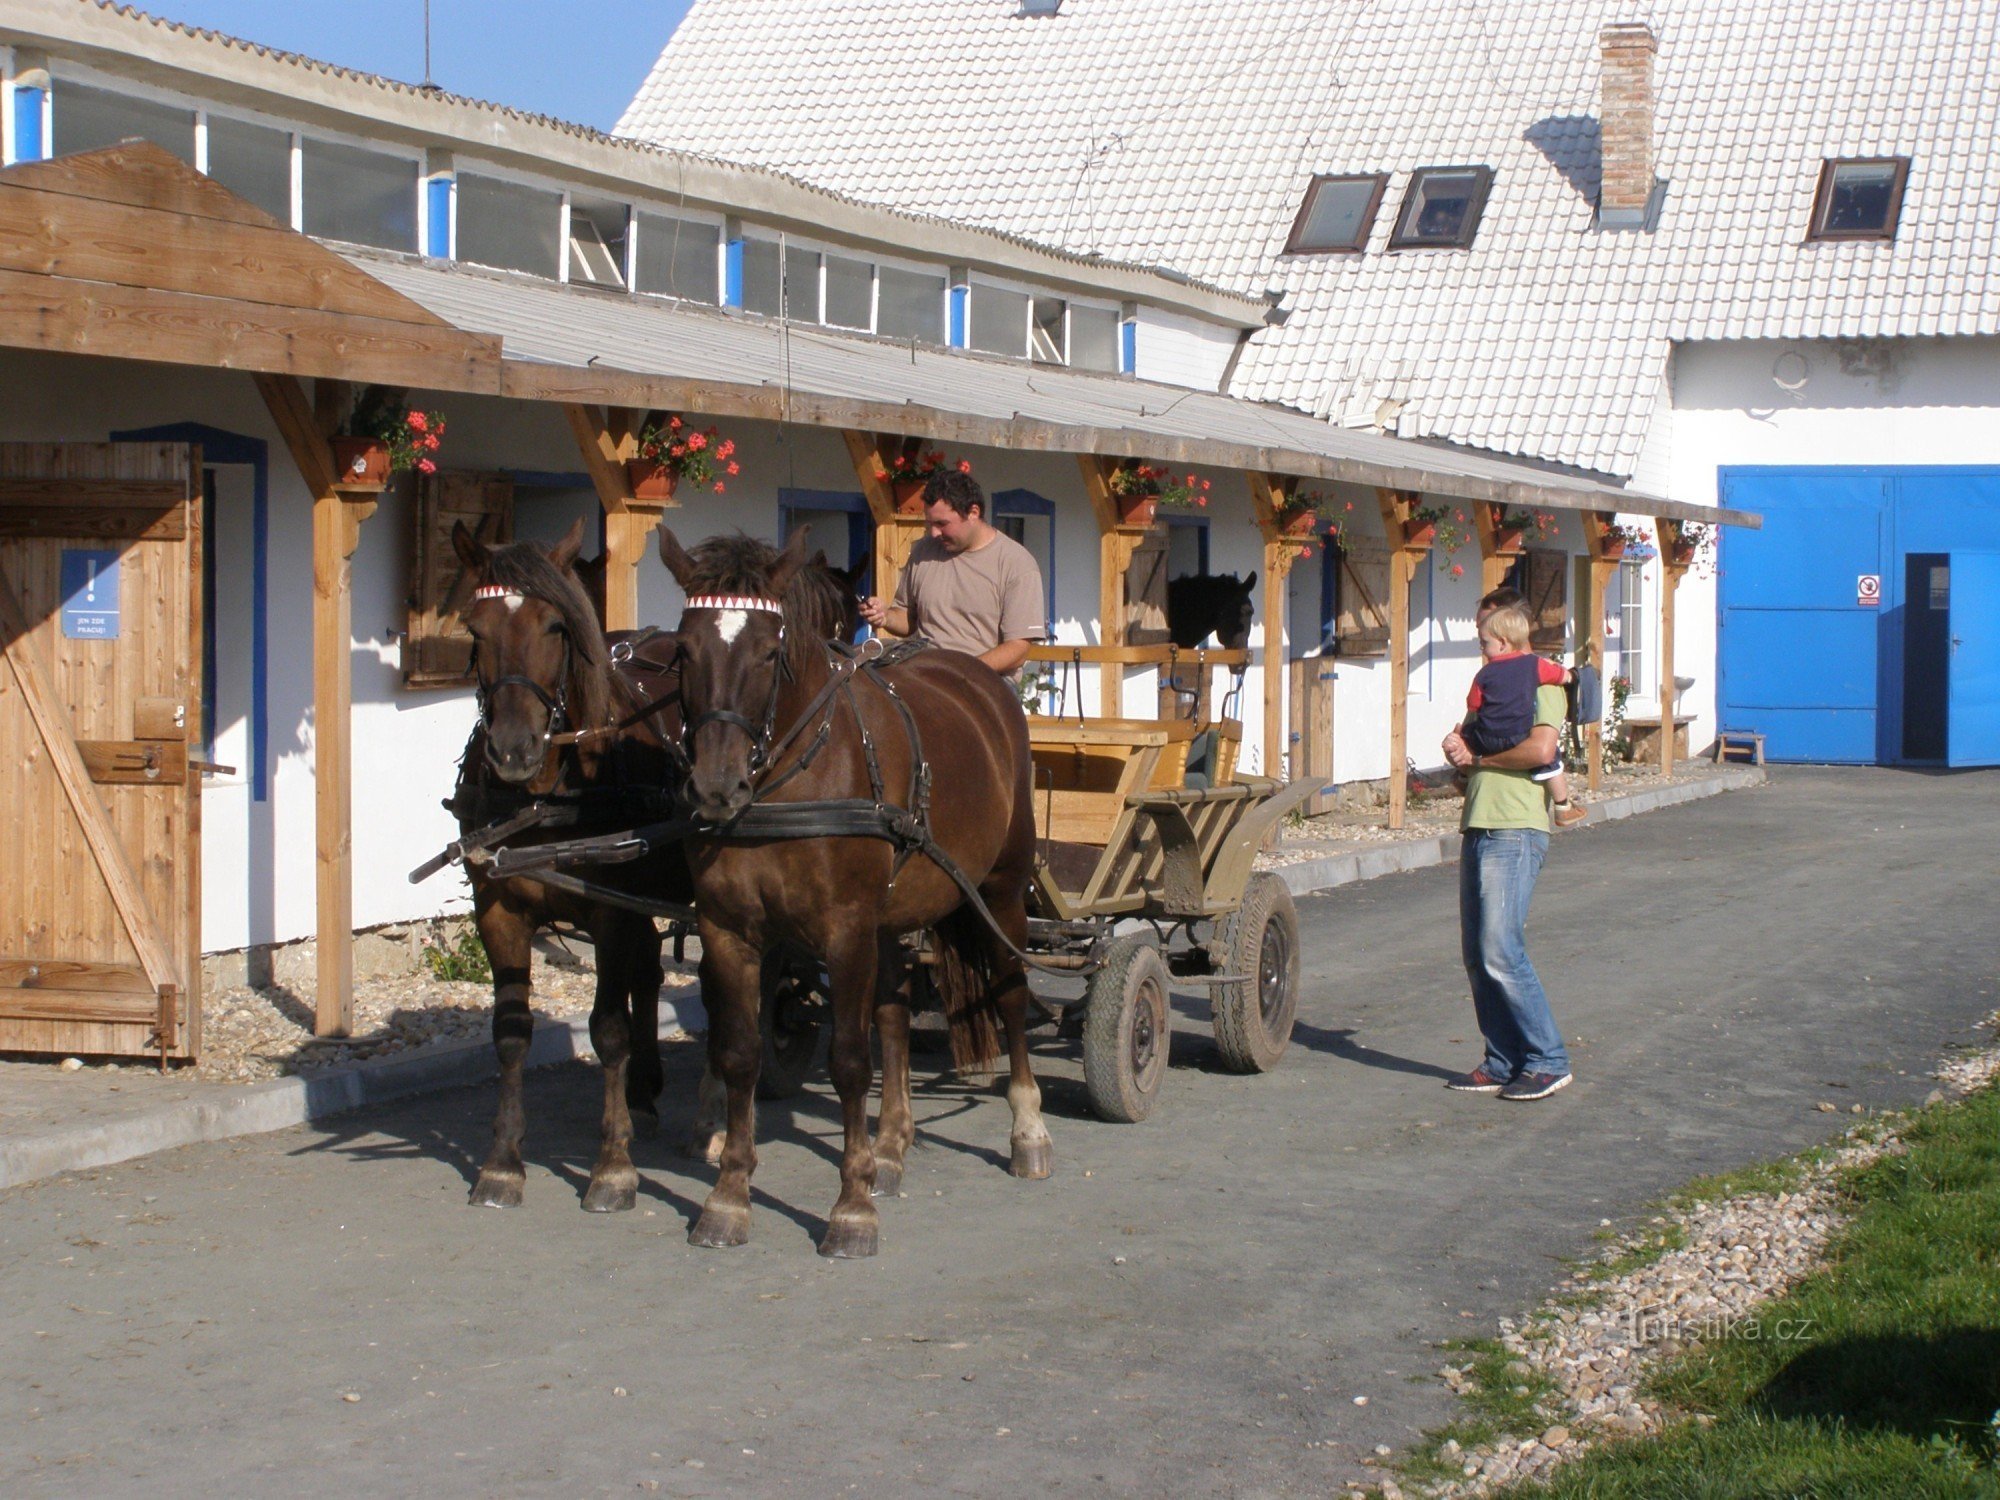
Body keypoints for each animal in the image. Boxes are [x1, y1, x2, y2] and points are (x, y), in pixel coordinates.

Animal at [660, 524, 1064, 1264]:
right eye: (682, 648)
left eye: (770, 651)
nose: (715, 787)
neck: (787, 782)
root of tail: (979, 683)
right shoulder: (728, 930)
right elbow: (739, 1052)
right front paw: (728, 1196)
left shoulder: (844, 928)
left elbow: (849, 1059)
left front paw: (851, 1208)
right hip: (894, 914)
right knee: (896, 1013)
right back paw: (891, 1146)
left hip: (1000, 889)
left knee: (1012, 993)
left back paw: (1027, 1131)